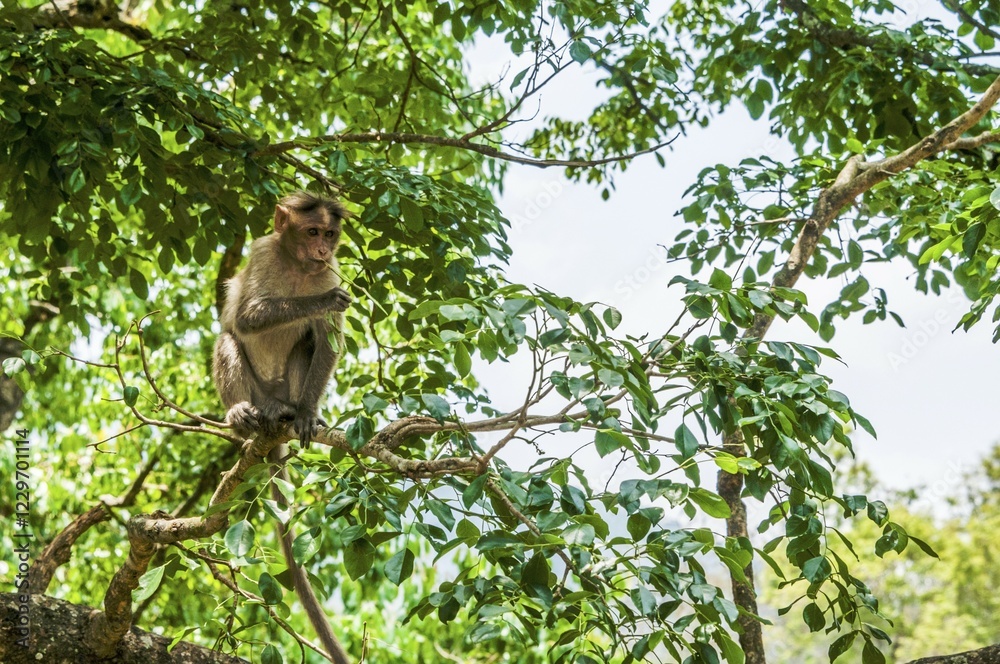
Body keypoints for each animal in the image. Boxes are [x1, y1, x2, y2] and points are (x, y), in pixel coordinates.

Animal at [212, 190, 352, 664]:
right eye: (312, 232)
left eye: (330, 235)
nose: (322, 250)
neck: (296, 266)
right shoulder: (263, 252)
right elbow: (247, 316)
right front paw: (321, 302)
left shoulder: (330, 271)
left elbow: (327, 342)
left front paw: (309, 412)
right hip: (255, 392)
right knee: (229, 337)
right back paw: (243, 417)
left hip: (285, 388)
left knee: (308, 344)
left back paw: (292, 413)